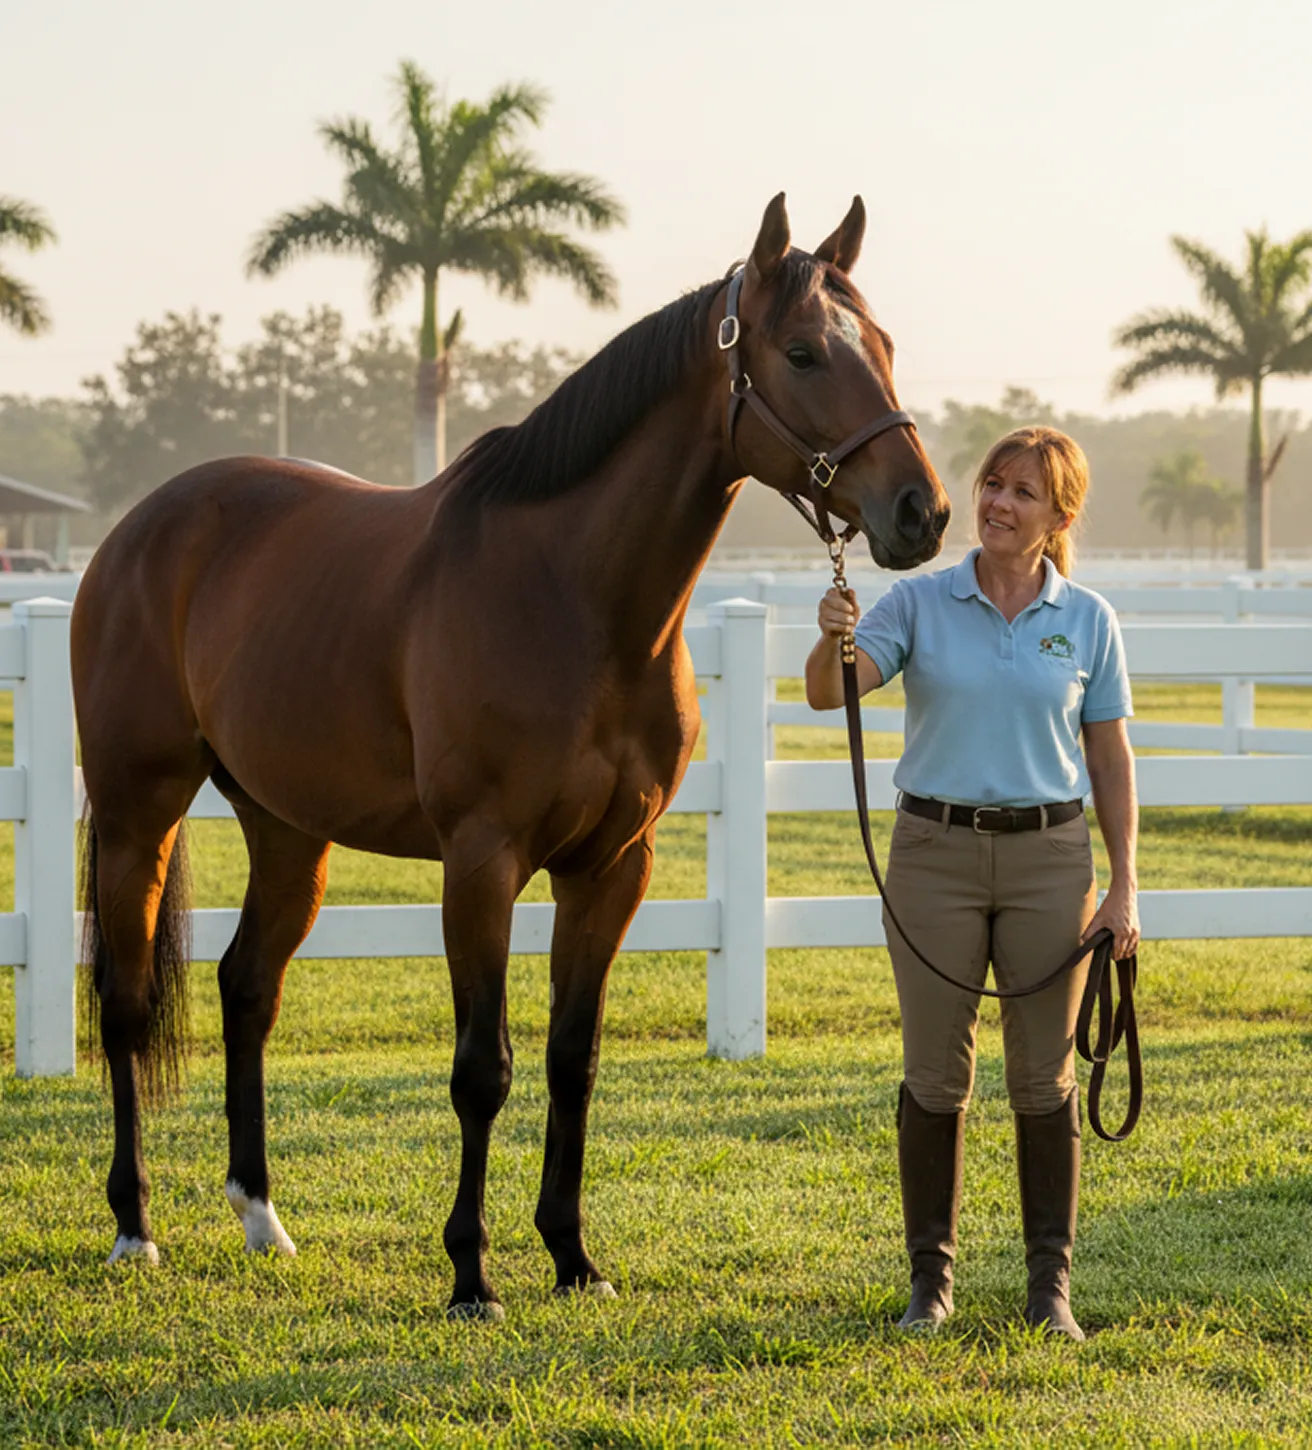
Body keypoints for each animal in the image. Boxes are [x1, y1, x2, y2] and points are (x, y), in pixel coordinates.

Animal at [73, 193, 950, 1318]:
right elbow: (481, 1068)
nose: (921, 511)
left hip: (288, 830)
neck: (575, 599)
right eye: (801, 352)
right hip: (139, 810)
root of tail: (137, 531)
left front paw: (573, 1258)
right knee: (127, 1003)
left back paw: (262, 1216)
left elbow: (572, 1058)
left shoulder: (612, 866)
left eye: (881, 347)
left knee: (246, 990)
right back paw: (133, 1227)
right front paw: (470, 1273)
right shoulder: (481, 861)